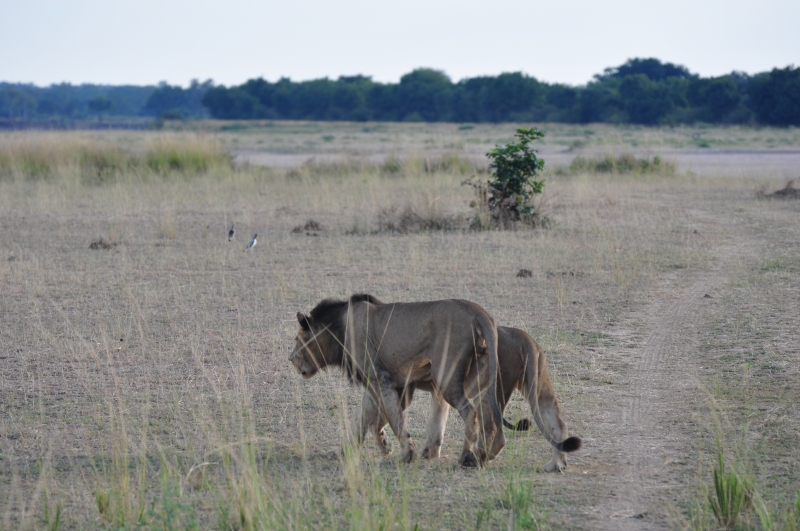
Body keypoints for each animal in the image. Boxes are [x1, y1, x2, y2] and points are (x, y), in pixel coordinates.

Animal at [289, 294, 505, 467]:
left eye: (297, 340)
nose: (291, 359)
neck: (339, 329)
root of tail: (477, 310)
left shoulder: (381, 379)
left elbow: (394, 419)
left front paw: (406, 454)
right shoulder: (376, 381)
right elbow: (361, 419)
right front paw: (347, 450)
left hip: (447, 376)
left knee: (471, 413)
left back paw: (466, 457)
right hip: (480, 376)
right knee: (490, 416)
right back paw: (483, 456)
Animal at [360, 325, 582, 472]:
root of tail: (524, 337)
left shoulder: (402, 387)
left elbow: (373, 415)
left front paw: (379, 443)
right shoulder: (438, 390)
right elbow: (437, 422)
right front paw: (429, 453)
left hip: (490, 390)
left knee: (495, 431)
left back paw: (473, 459)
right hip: (539, 387)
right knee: (558, 424)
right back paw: (556, 464)